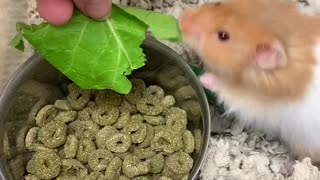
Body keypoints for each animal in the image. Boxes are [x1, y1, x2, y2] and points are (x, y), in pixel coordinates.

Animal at [179, 0, 320, 163]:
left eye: (223, 36)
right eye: (217, 3)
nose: (182, 20)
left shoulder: (252, 102)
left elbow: (226, 89)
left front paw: (203, 77)